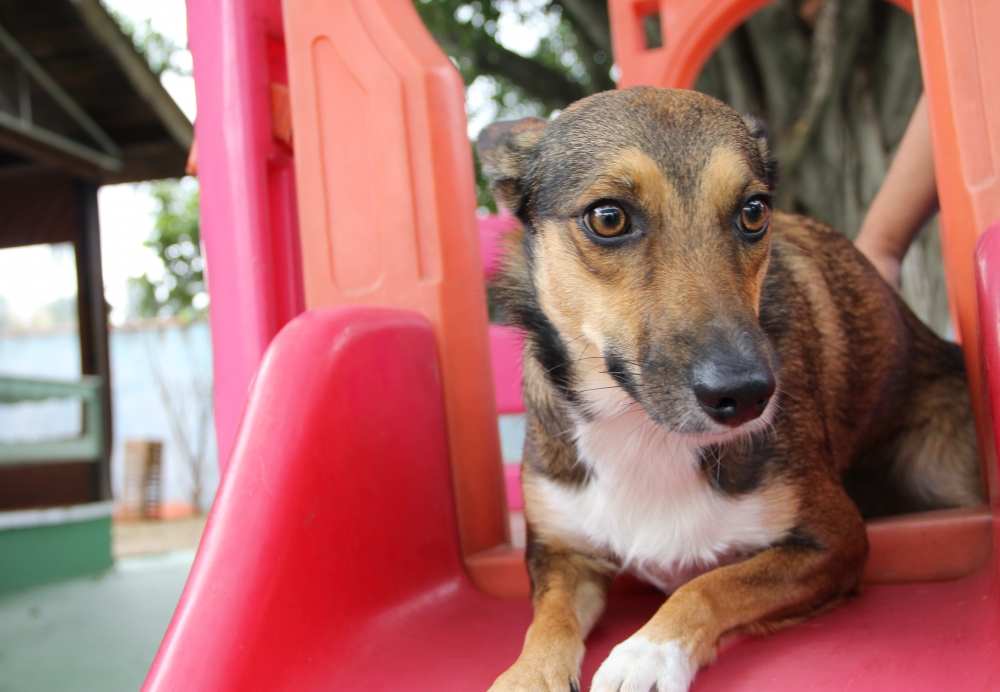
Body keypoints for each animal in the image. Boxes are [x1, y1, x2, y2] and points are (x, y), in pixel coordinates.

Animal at [480, 88, 980, 692]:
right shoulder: (561, 553)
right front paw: (525, 676)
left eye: (754, 212)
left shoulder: (835, 542)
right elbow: (546, 623)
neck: (641, 426)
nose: (746, 396)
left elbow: (711, 586)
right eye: (608, 217)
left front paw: (647, 654)